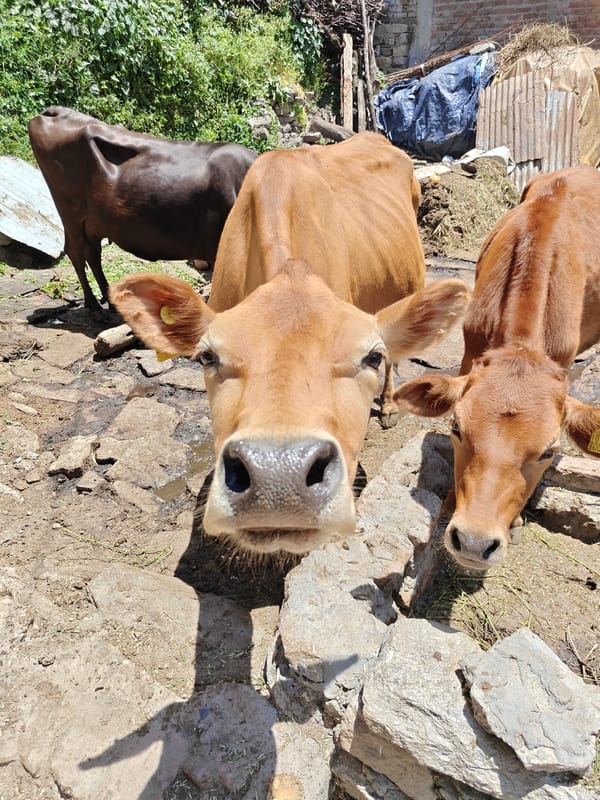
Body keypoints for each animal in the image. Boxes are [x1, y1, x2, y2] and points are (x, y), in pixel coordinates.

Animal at [28, 106, 257, 318]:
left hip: (93, 222)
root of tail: (53, 111)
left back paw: (111, 303)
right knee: (76, 253)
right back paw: (94, 308)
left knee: (92, 253)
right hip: (70, 212)